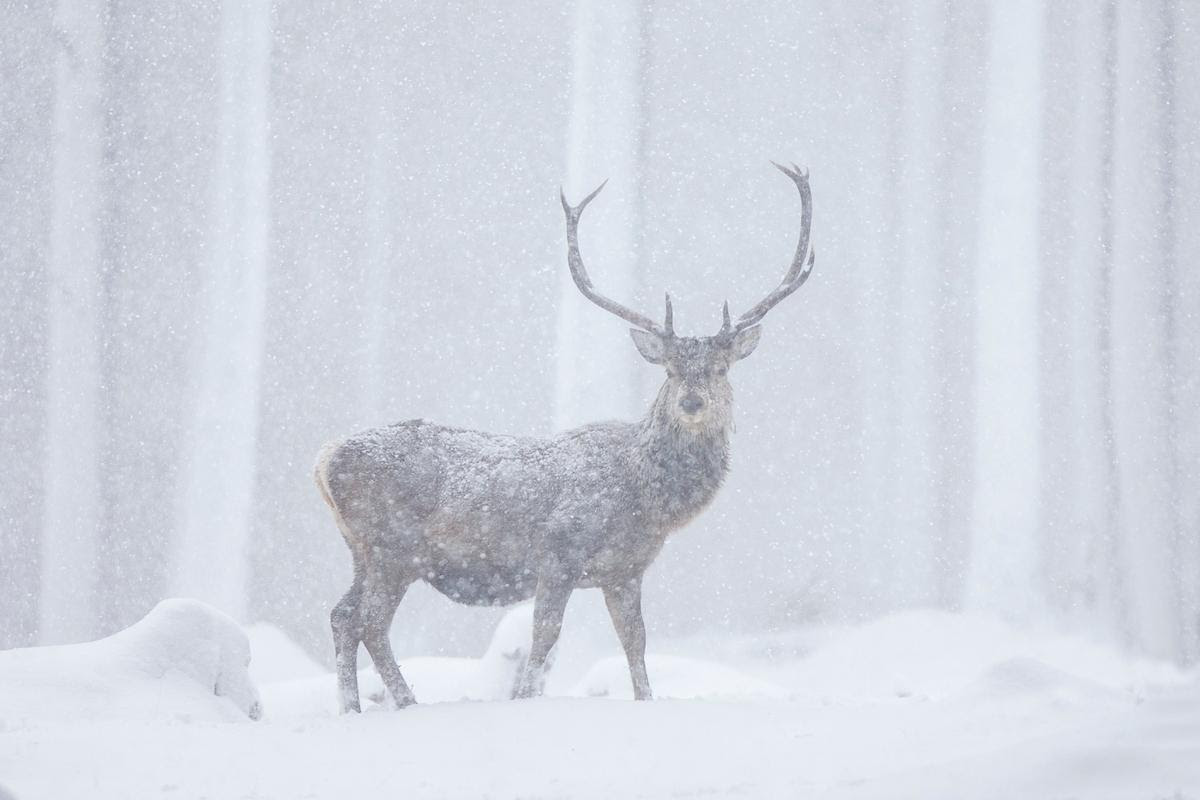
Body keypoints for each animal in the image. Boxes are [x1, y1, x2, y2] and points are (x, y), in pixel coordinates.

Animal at [315, 163, 815, 712]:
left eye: (721, 368)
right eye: (669, 369)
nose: (691, 403)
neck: (646, 497)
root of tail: (325, 460)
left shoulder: (625, 569)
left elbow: (635, 642)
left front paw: (645, 700)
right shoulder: (558, 553)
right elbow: (545, 637)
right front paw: (525, 699)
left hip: (363, 549)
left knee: (343, 615)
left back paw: (354, 707)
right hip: (394, 546)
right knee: (371, 622)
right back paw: (404, 703)